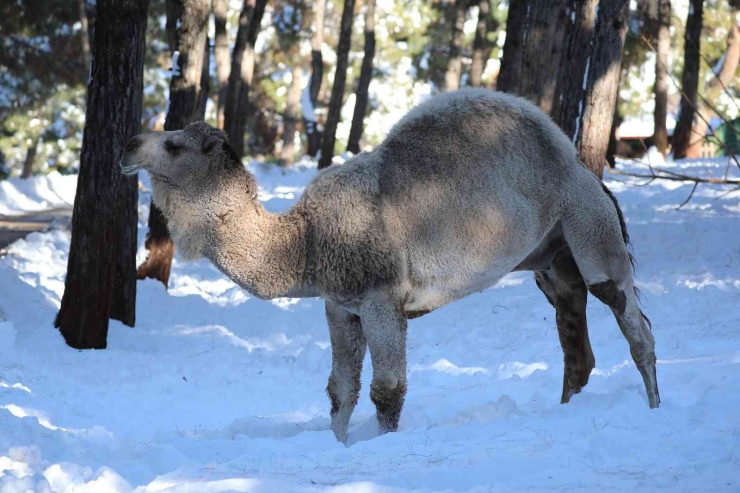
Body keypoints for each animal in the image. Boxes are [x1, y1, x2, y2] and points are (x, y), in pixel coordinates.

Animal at [121, 87, 660, 442]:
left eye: (173, 144)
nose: (127, 145)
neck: (306, 239)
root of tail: (585, 171)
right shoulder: (341, 306)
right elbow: (340, 390)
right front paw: (336, 446)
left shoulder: (382, 301)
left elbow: (387, 390)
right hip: (552, 258)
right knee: (576, 344)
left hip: (589, 226)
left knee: (633, 324)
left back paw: (655, 408)